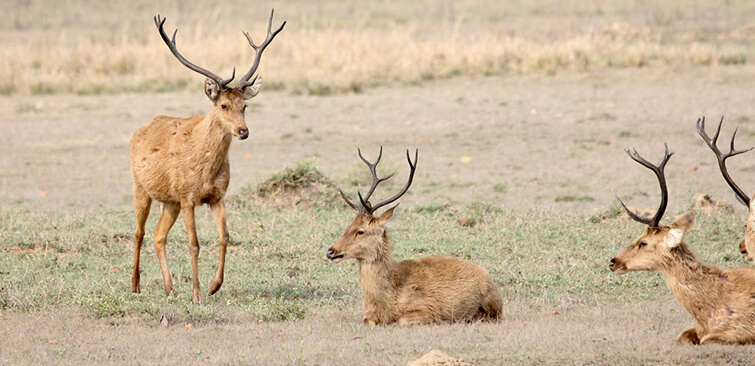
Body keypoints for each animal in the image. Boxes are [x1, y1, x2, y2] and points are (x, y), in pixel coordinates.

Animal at [130, 10, 286, 304]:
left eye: (245, 105)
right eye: (223, 105)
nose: (243, 131)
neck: (205, 170)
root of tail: (139, 130)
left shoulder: (216, 196)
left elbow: (225, 236)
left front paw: (214, 286)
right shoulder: (188, 198)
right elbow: (194, 244)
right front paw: (197, 294)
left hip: (170, 201)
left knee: (158, 235)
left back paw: (170, 288)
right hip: (140, 187)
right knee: (139, 232)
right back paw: (135, 286)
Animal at [324, 148, 502, 326]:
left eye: (360, 231)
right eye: (348, 226)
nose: (330, 251)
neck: (388, 296)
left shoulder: (429, 309)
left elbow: (401, 320)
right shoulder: (368, 315)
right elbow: (367, 320)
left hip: (492, 302)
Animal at [612, 144, 755, 344]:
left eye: (643, 242)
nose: (613, 261)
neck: (708, 313)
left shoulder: (742, 330)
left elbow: (706, 339)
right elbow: (681, 336)